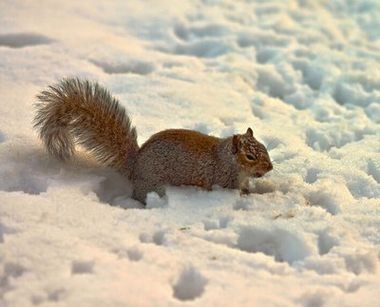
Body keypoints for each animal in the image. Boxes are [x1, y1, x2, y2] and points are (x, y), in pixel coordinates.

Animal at [33, 79, 274, 205]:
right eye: (250, 156)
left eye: (264, 147)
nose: (270, 167)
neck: (227, 160)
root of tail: (135, 167)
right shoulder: (222, 180)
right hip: (154, 186)